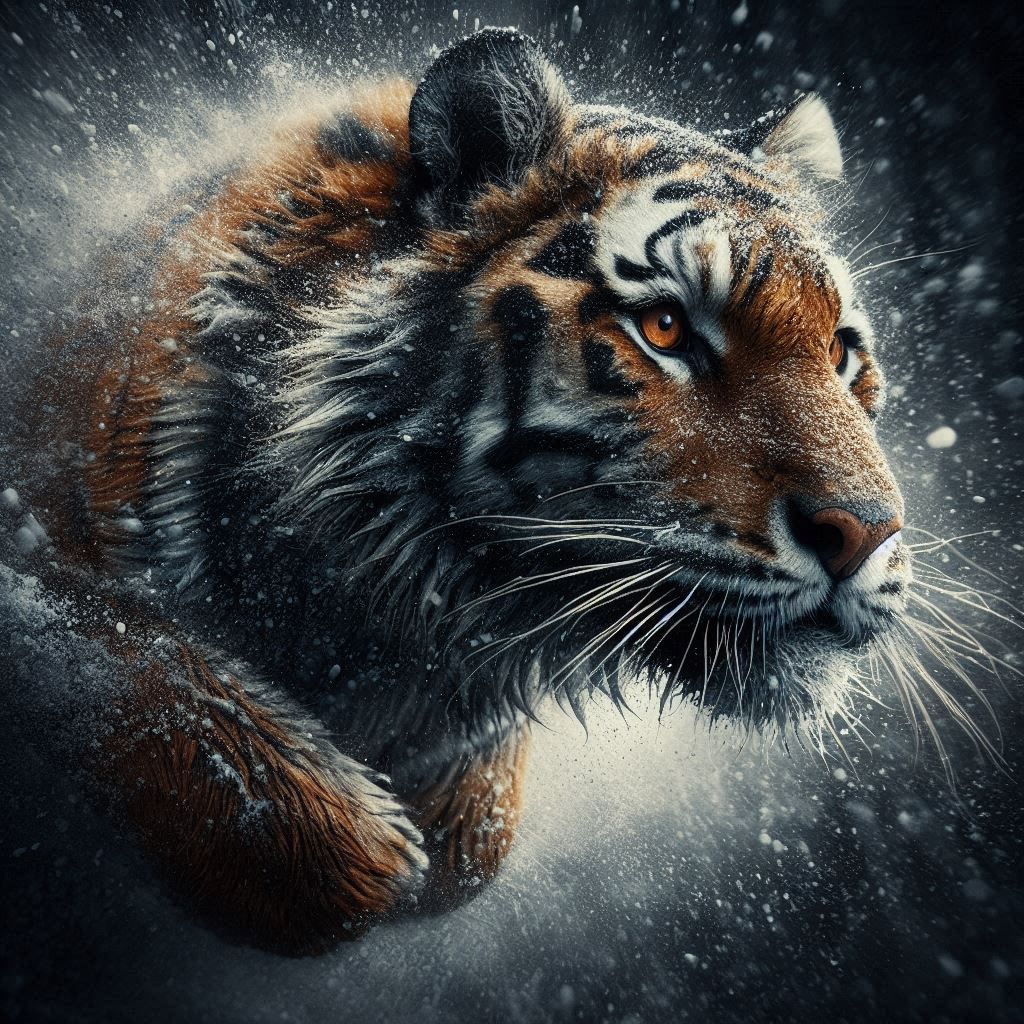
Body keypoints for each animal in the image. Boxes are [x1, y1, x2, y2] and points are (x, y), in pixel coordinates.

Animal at [14, 27, 912, 954]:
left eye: (839, 350)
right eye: (664, 328)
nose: (867, 532)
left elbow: (474, 840)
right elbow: (141, 680)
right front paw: (369, 847)